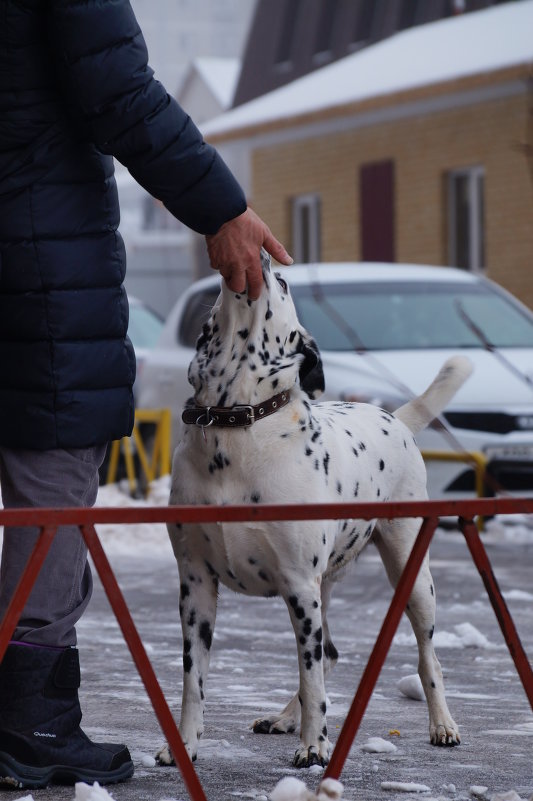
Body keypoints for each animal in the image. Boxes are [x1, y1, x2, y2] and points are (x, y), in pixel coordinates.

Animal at [159, 250, 470, 768]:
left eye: (283, 283)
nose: (265, 256)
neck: (235, 427)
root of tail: (395, 419)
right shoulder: (196, 587)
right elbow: (193, 681)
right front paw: (183, 744)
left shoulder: (299, 584)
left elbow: (312, 677)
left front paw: (315, 744)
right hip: (322, 589)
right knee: (327, 654)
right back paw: (285, 717)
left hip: (410, 574)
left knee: (425, 656)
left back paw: (442, 724)